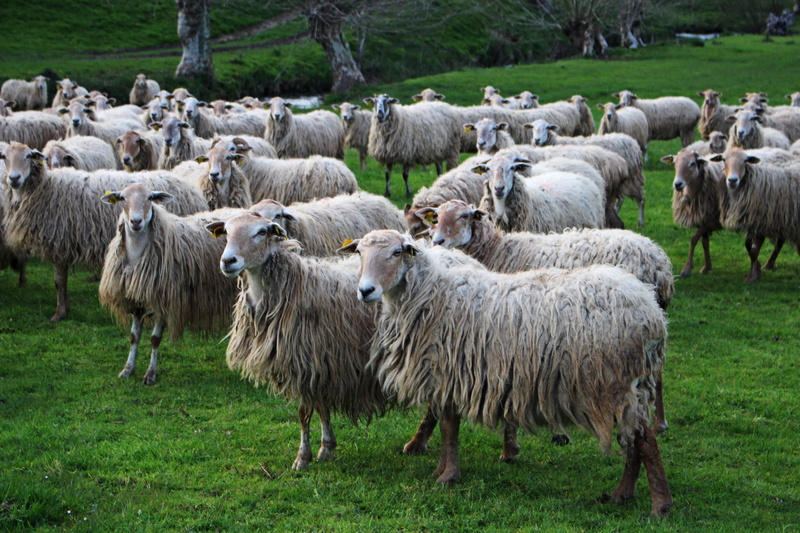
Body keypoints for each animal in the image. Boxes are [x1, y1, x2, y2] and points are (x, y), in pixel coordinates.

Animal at [0, 141, 209, 321]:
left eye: (28, 156)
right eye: (4, 157)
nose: (14, 178)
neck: (47, 189)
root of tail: (191, 189)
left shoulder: (60, 242)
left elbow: (59, 281)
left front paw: (58, 314)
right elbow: (62, 281)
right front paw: (65, 308)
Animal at [99, 183, 240, 385]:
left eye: (150, 198)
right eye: (122, 198)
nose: (136, 222)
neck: (138, 255)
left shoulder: (163, 301)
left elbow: (155, 339)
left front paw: (151, 374)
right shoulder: (136, 300)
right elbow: (134, 337)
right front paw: (128, 369)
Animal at [343, 230, 672, 518]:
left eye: (397, 252)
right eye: (359, 253)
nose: (365, 291)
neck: (430, 295)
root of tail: (652, 313)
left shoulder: (448, 372)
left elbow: (449, 427)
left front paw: (447, 476)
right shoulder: (446, 377)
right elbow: (447, 425)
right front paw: (442, 469)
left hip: (617, 383)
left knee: (644, 441)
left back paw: (658, 507)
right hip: (636, 385)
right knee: (634, 440)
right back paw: (622, 494)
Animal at [711, 147, 800, 282]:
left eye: (745, 161)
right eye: (724, 160)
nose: (732, 180)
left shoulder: (761, 221)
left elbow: (753, 250)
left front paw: (752, 276)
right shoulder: (752, 222)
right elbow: (749, 247)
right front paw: (757, 269)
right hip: (784, 218)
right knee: (780, 241)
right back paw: (769, 264)